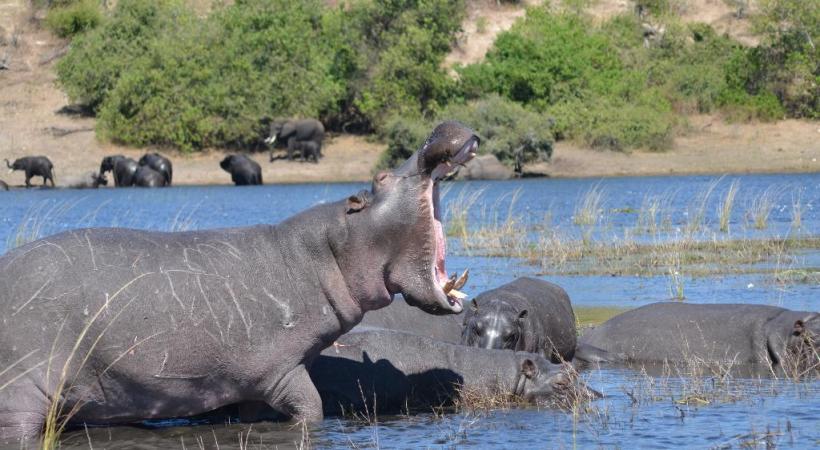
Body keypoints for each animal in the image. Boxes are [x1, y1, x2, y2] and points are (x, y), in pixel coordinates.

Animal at [0, 121, 479, 444]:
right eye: (380, 178)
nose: (438, 129)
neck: (327, 251)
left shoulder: (248, 384)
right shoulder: (281, 371)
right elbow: (312, 408)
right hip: (21, 391)